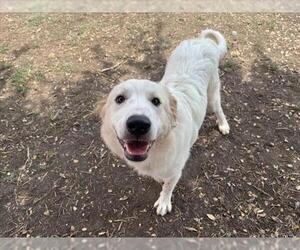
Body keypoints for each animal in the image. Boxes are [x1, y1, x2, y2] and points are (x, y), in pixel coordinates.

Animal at [95, 29, 230, 216]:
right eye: (119, 99)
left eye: (156, 101)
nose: (138, 124)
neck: (159, 147)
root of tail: (202, 41)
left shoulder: (175, 172)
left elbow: (168, 187)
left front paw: (164, 201)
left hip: (212, 97)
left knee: (219, 109)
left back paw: (223, 125)